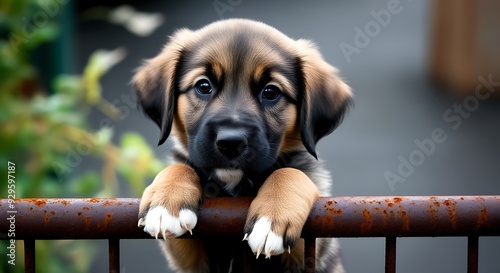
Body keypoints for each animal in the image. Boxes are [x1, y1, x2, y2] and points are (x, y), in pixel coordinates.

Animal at [133, 18, 352, 270]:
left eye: (271, 91)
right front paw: (165, 202)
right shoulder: (189, 258)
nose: (231, 142)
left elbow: (290, 173)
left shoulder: (311, 251)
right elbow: (179, 167)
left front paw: (270, 219)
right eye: (203, 86)